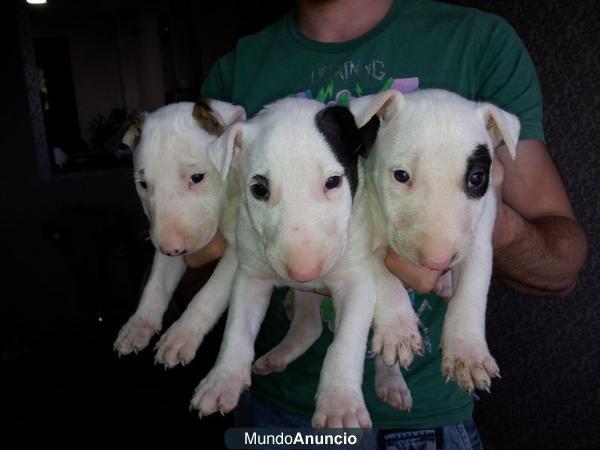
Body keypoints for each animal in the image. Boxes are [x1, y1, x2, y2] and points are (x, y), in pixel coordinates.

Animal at [112, 100, 244, 360]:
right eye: (143, 184)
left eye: (197, 177)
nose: (171, 249)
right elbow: (156, 284)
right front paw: (138, 324)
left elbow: (211, 292)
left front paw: (182, 334)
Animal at [352, 87, 520, 394]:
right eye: (401, 175)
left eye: (477, 177)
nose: (437, 262)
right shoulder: (364, 232)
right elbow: (383, 277)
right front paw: (397, 330)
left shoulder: (479, 239)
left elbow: (471, 291)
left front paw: (467, 353)